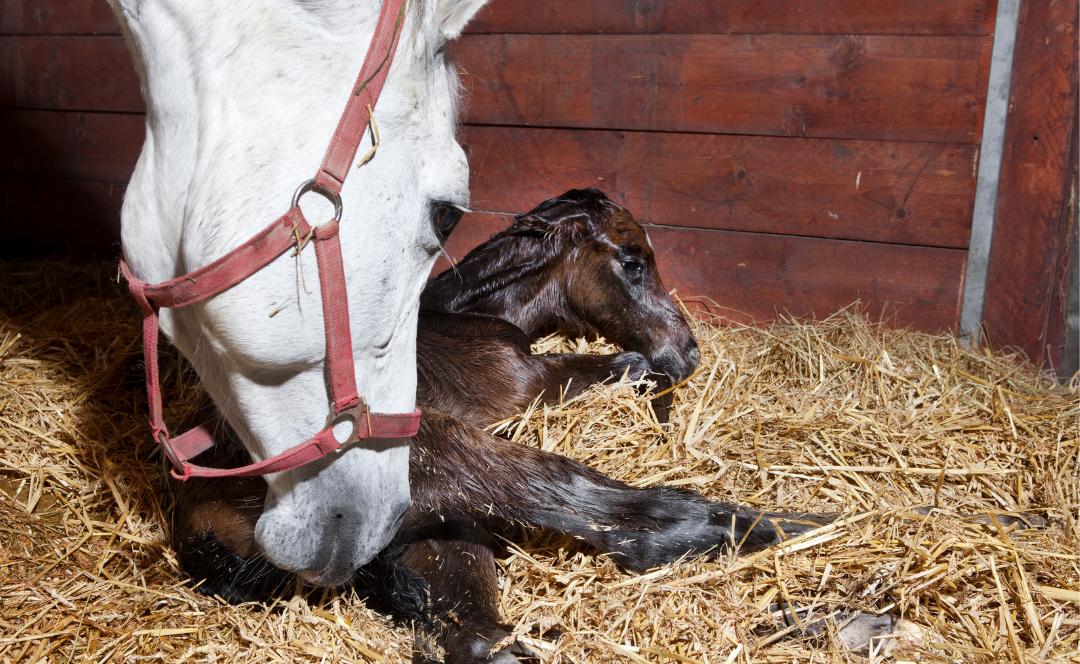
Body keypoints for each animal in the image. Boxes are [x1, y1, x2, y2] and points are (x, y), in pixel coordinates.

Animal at [174, 190, 832, 663]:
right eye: (632, 261)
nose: (689, 352)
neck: (461, 315)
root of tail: (199, 521)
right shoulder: (530, 382)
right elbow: (628, 368)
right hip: (449, 458)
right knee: (623, 515)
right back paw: (802, 529)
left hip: (435, 532)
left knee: (468, 633)